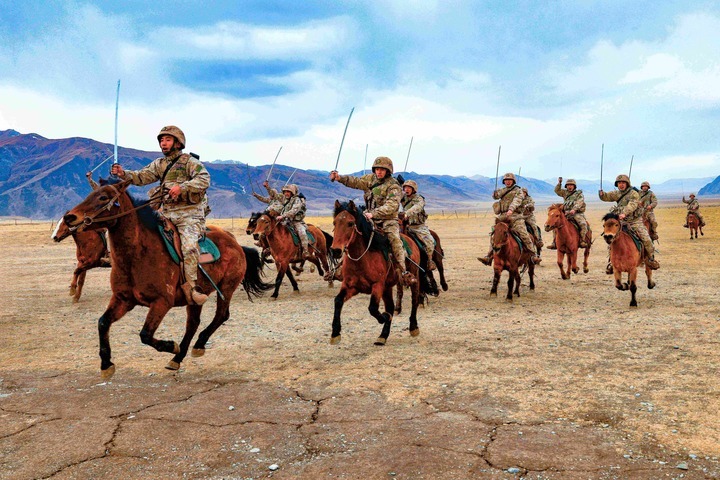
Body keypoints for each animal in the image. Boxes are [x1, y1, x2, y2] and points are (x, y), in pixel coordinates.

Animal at [52, 179, 273, 379]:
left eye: (104, 197)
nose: (70, 217)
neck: (138, 255)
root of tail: (235, 244)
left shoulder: (161, 302)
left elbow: (145, 334)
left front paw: (171, 346)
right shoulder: (123, 299)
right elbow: (102, 323)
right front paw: (106, 364)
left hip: (226, 288)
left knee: (221, 316)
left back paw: (197, 345)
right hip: (195, 297)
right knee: (193, 323)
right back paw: (178, 358)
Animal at [331, 200, 429, 345]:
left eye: (350, 223)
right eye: (335, 222)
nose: (336, 250)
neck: (362, 258)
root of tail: (411, 240)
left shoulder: (377, 285)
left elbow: (372, 308)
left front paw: (384, 317)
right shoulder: (351, 286)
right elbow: (338, 301)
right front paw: (335, 333)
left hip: (413, 277)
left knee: (414, 300)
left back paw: (413, 327)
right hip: (387, 287)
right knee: (390, 306)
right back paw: (383, 336)